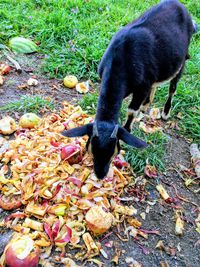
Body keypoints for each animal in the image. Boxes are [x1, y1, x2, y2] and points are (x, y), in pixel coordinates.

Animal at [62, 0, 197, 180]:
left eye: (113, 151)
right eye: (92, 149)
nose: (100, 174)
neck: (121, 60)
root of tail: (181, 6)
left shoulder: (142, 86)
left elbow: (131, 110)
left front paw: (128, 129)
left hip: (182, 59)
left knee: (173, 87)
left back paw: (165, 112)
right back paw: (145, 108)